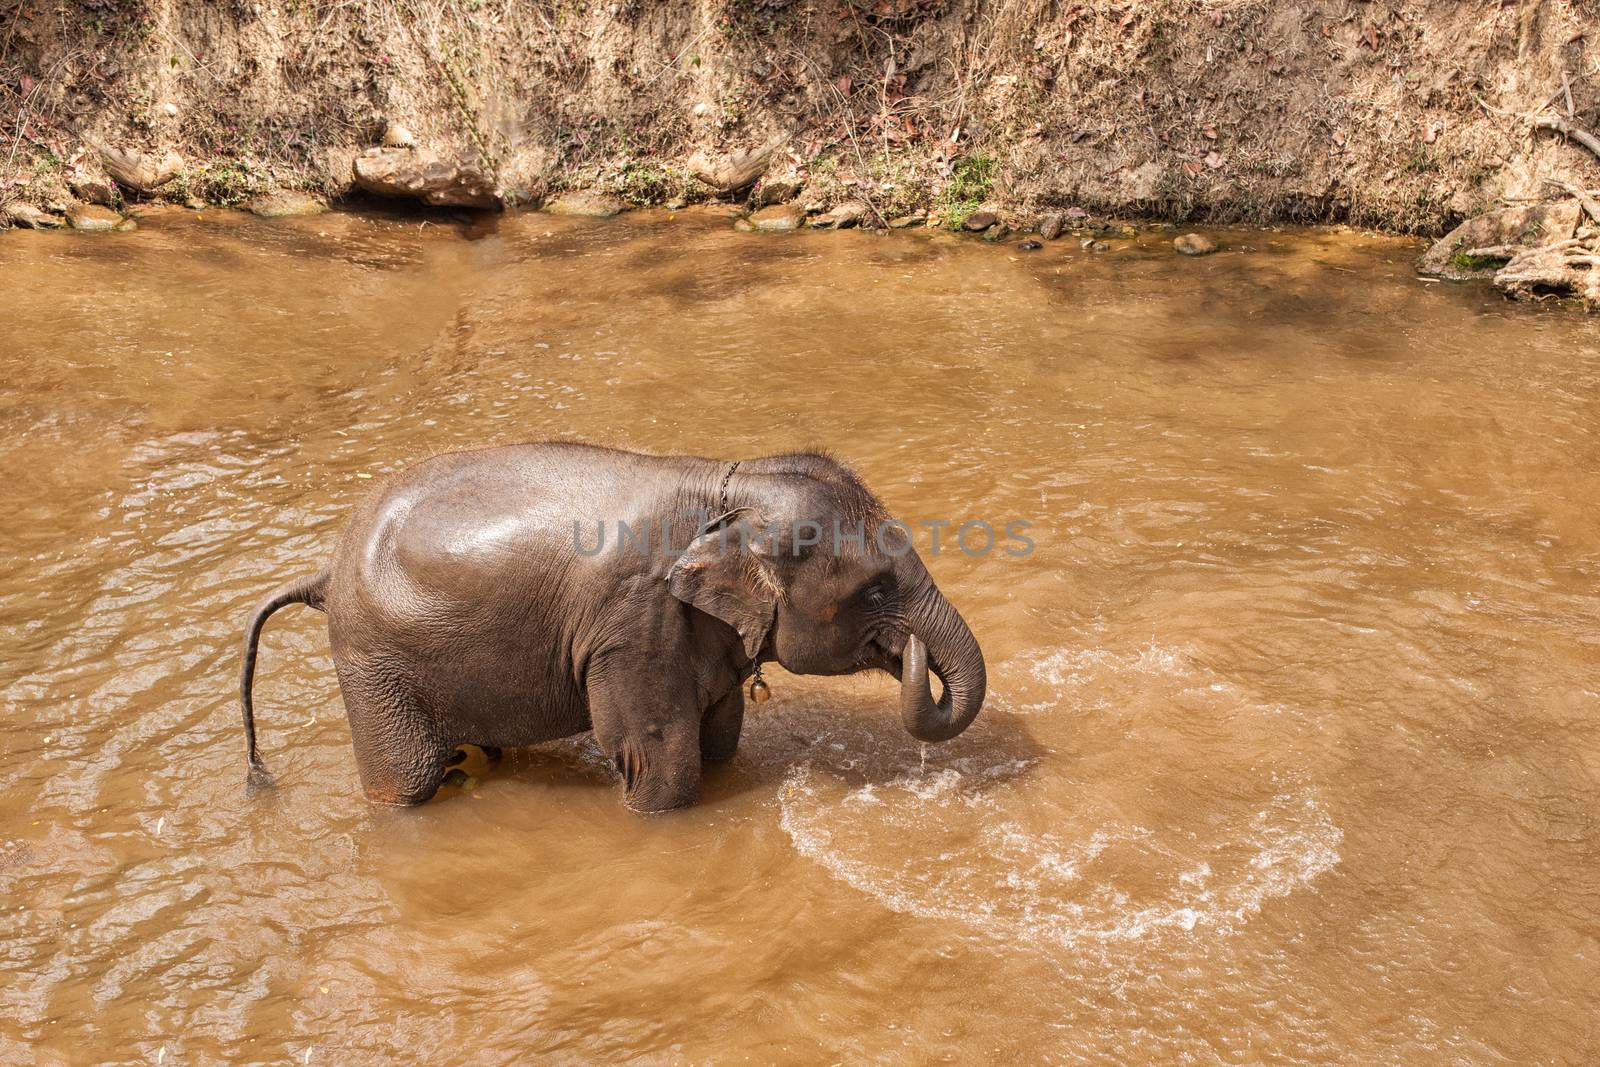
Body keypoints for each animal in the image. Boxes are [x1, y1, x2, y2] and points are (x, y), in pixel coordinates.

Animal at [236, 441, 985, 809]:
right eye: (875, 589)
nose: (913, 653)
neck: (729, 486)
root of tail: (327, 573)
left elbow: (720, 737)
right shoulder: (634, 623)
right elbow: (664, 756)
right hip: (371, 662)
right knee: (408, 779)